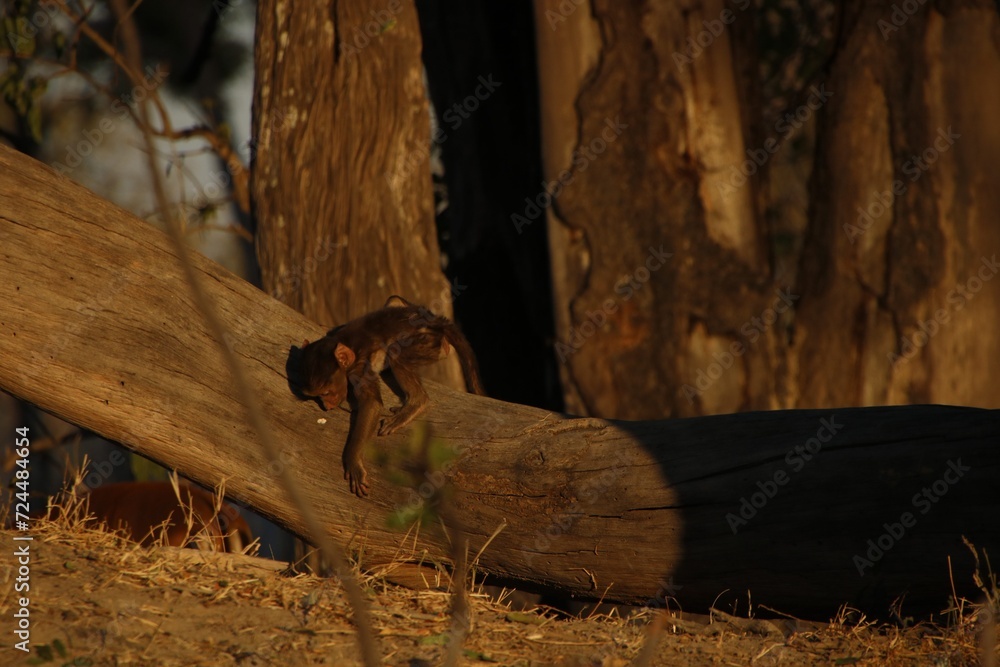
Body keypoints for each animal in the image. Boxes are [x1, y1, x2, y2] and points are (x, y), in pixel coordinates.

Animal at [293, 296, 484, 498]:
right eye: (317, 396)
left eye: (326, 393)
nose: (326, 405)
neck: (346, 344)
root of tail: (434, 321)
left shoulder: (358, 370)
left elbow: (372, 404)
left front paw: (353, 460)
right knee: (394, 300)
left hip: (427, 343)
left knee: (395, 353)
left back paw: (417, 402)